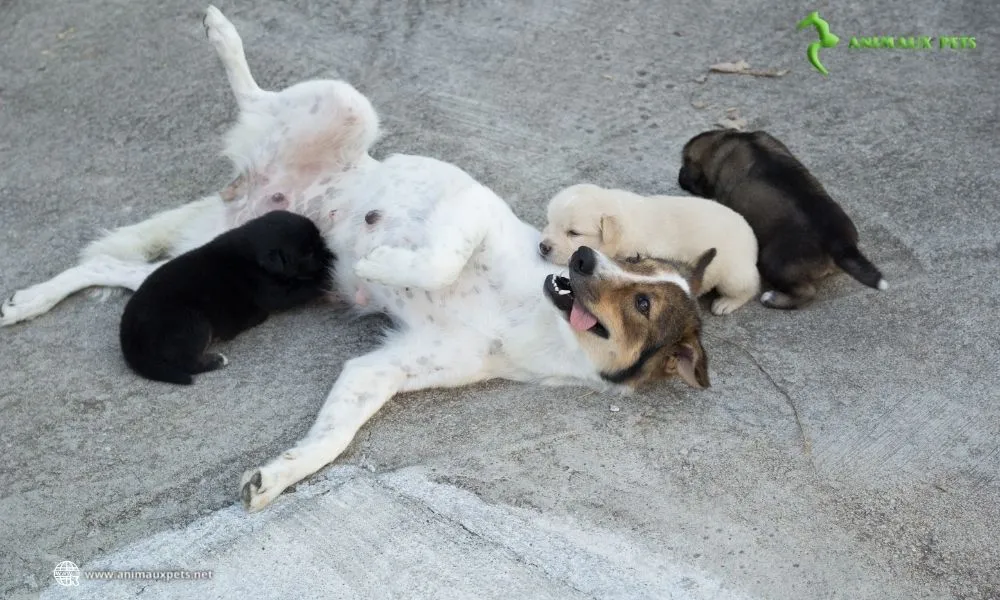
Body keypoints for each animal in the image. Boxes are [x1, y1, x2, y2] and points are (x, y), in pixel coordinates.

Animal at [119, 211, 334, 384]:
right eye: (308, 253)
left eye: (320, 237)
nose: (331, 254)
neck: (253, 254)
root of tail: (128, 336)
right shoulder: (272, 291)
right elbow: (301, 288)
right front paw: (325, 277)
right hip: (195, 324)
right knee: (187, 362)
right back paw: (216, 360)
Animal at [540, 182, 756, 314]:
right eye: (548, 221)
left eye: (574, 233)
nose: (542, 247)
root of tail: (752, 237)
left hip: (732, 276)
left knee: (751, 287)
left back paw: (726, 303)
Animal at [676, 131, 888, 310]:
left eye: (685, 165)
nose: (679, 175)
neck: (726, 141)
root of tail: (839, 242)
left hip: (773, 261)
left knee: (807, 292)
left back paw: (772, 299)